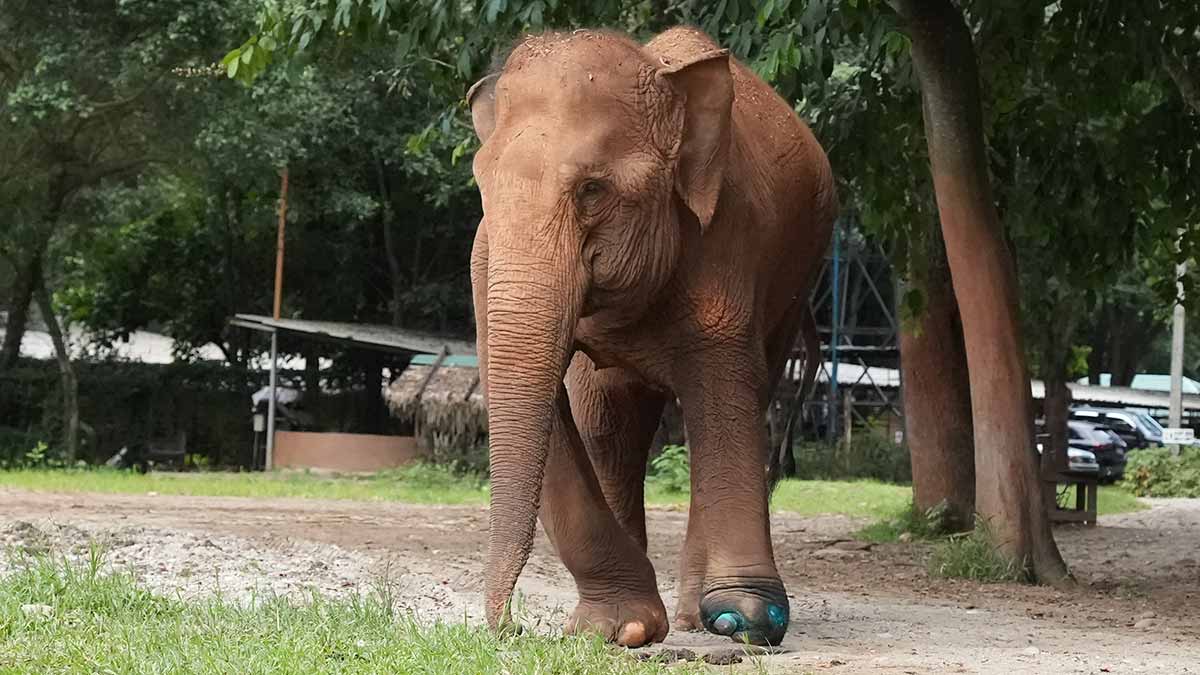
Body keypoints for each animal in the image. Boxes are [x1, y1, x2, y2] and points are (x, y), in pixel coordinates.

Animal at [465, 24, 835, 648]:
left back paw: (700, 618)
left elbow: (723, 391)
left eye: (592, 189)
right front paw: (620, 628)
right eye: (482, 184)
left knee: (733, 403)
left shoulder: (727, 241)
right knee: (609, 422)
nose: (508, 628)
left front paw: (745, 618)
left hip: (797, 275)